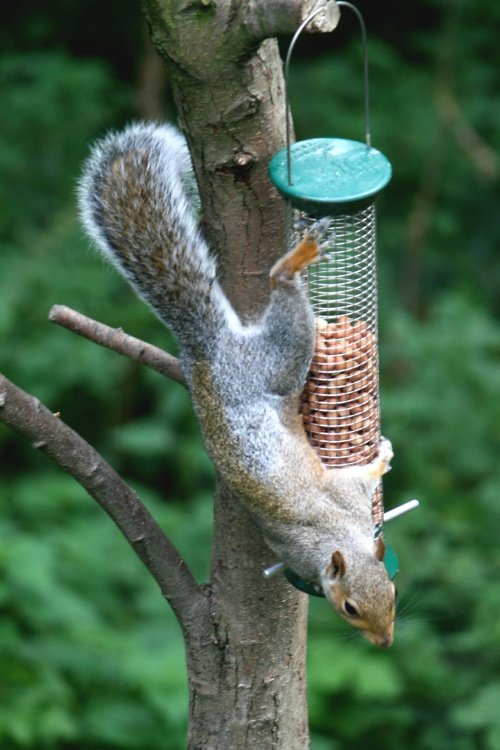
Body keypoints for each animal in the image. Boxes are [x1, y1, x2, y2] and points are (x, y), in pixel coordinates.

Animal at [78, 122, 395, 648]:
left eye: (391, 589)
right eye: (349, 608)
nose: (385, 641)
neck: (334, 541)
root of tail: (209, 351)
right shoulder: (343, 500)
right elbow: (359, 480)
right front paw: (380, 460)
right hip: (281, 358)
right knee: (279, 282)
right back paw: (298, 259)